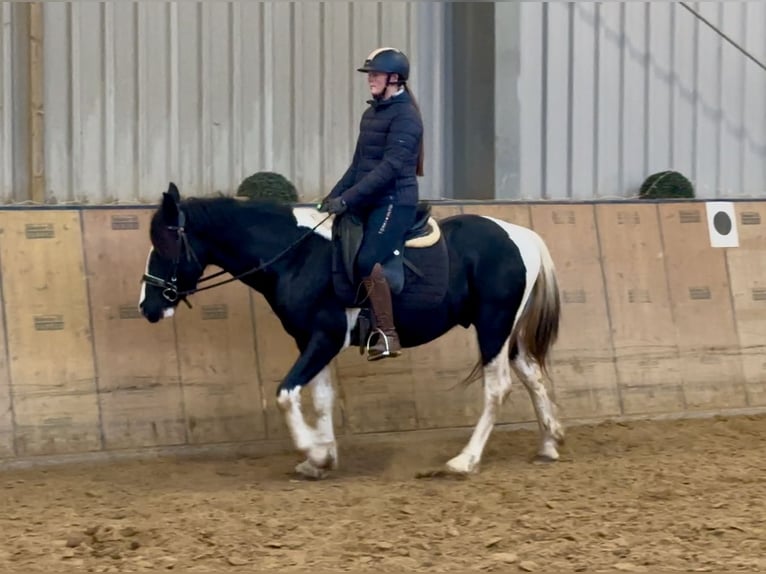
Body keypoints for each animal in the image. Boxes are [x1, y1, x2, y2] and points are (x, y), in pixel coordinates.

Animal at [138, 182, 568, 480]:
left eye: (165, 243)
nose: (148, 306)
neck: (298, 255)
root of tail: (521, 236)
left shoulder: (323, 337)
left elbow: (285, 394)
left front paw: (313, 452)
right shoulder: (313, 340)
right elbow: (322, 398)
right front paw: (323, 458)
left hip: (493, 326)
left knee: (498, 387)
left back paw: (464, 461)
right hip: (506, 332)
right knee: (532, 375)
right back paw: (549, 443)